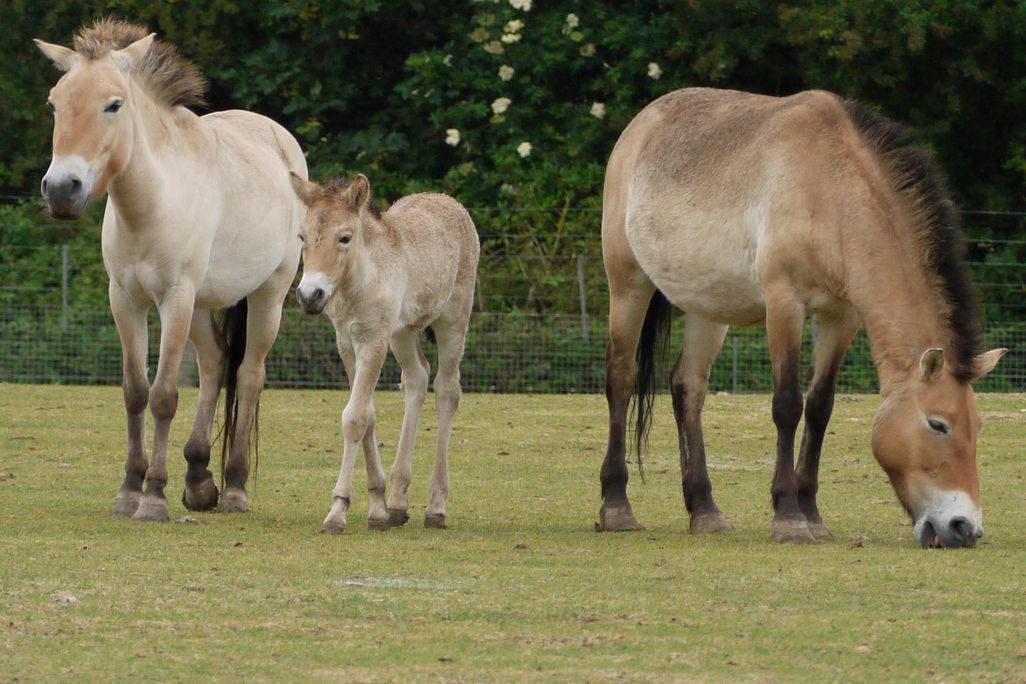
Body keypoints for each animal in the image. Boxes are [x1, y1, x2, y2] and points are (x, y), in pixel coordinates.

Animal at [35, 20, 306, 521]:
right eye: (55, 102)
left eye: (114, 104)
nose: (62, 190)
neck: (151, 204)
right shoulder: (125, 300)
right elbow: (135, 392)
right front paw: (128, 491)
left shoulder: (174, 299)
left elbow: (163, 396)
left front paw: (154, 496)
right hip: (200, 306)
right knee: (216, 363)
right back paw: (199, 480)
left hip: (267, 297)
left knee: (249, 375)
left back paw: (234, 488)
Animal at [288, 173, 479, 533]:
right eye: (301, 237)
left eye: (345, 237)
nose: (309, 295)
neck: (360, 280)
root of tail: (448, 201)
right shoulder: (347, 342)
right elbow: (368, 414)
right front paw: (377, 507)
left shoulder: (373, 341)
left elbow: (355, 418)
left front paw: (338, 511)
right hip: (402, 333)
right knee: (416, 379)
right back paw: (398, 503)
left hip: (453, 322)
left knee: (447, 390)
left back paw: (435, 508)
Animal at [598, 88, 1005, 548]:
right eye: (938, 424)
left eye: (977, 427)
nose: (964, 528)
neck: (831, 192)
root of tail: (641, 126)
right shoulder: (784, 304)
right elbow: (787, 405)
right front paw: (789, 516)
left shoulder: (841, 316)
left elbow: (819, 407)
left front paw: (812, 513)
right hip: (628, 284)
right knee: (621, 378)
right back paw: (616, 507)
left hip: (709, 306)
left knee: (688, 387)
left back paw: (705, 511)